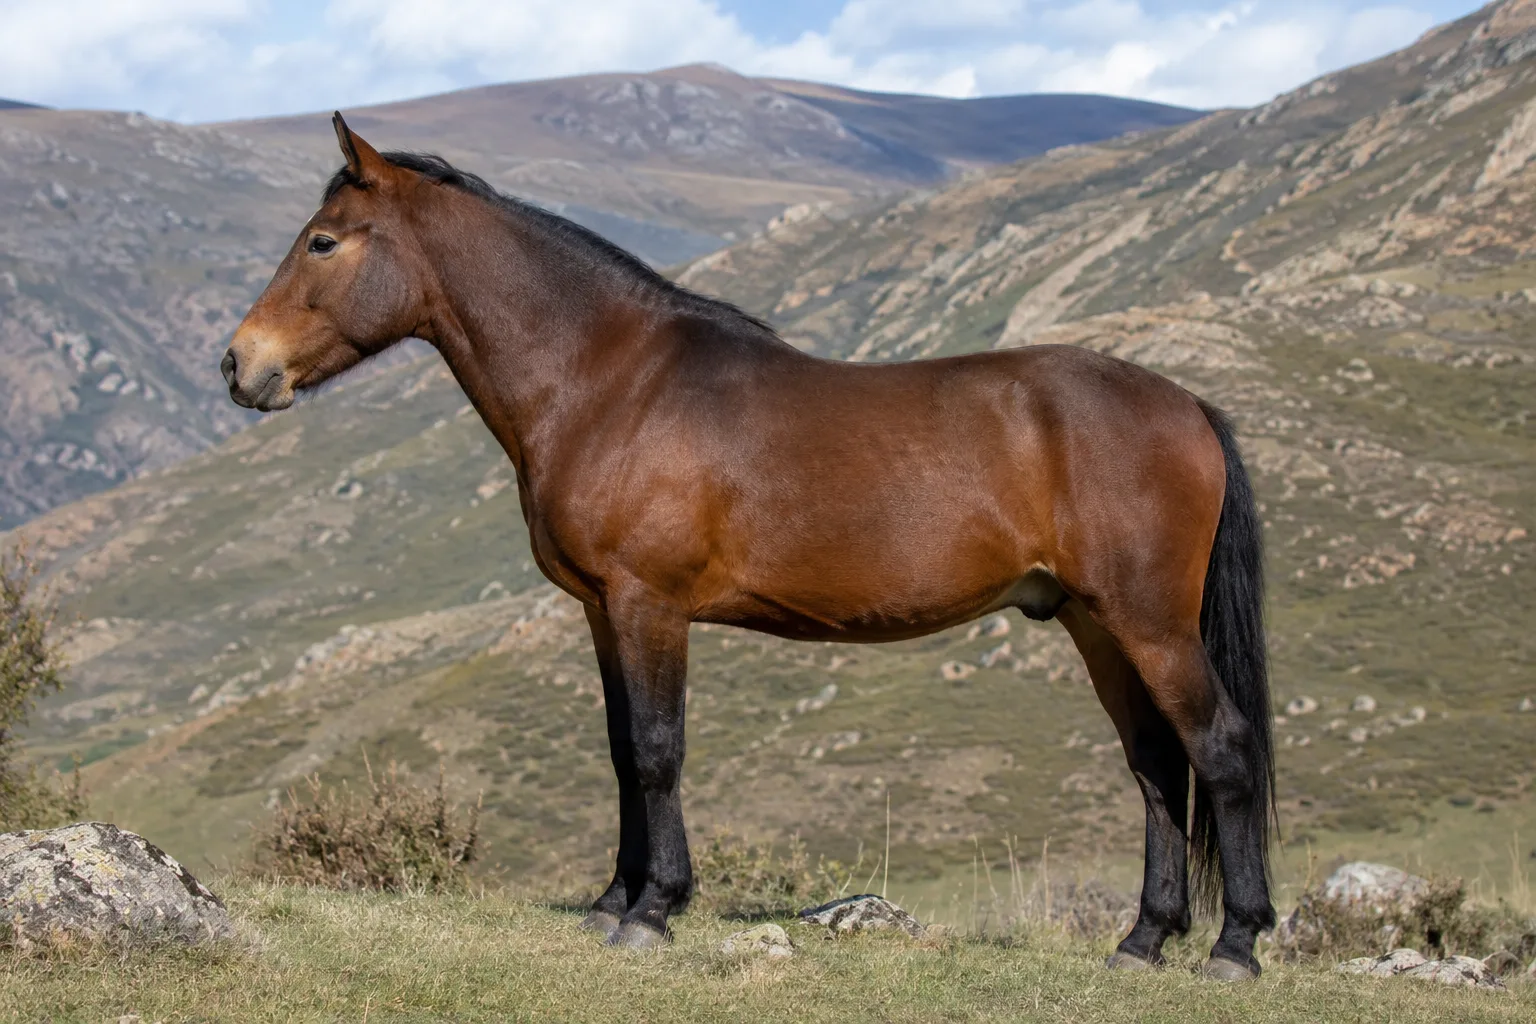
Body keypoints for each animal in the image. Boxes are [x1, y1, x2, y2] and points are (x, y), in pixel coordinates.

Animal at [222, 114, 1276, 979]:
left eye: (322, 241)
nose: (240, 366)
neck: (612, 382)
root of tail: (1185, 403)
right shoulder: (604, 611)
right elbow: (621, 751)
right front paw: (613, 900)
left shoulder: (649, 604)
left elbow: (657, 750)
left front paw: (653, 911)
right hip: (1098, 626)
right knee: (1157, 767)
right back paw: (1143, 941)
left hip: (1150, 625)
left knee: (1220, 750)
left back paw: (1234, 947)